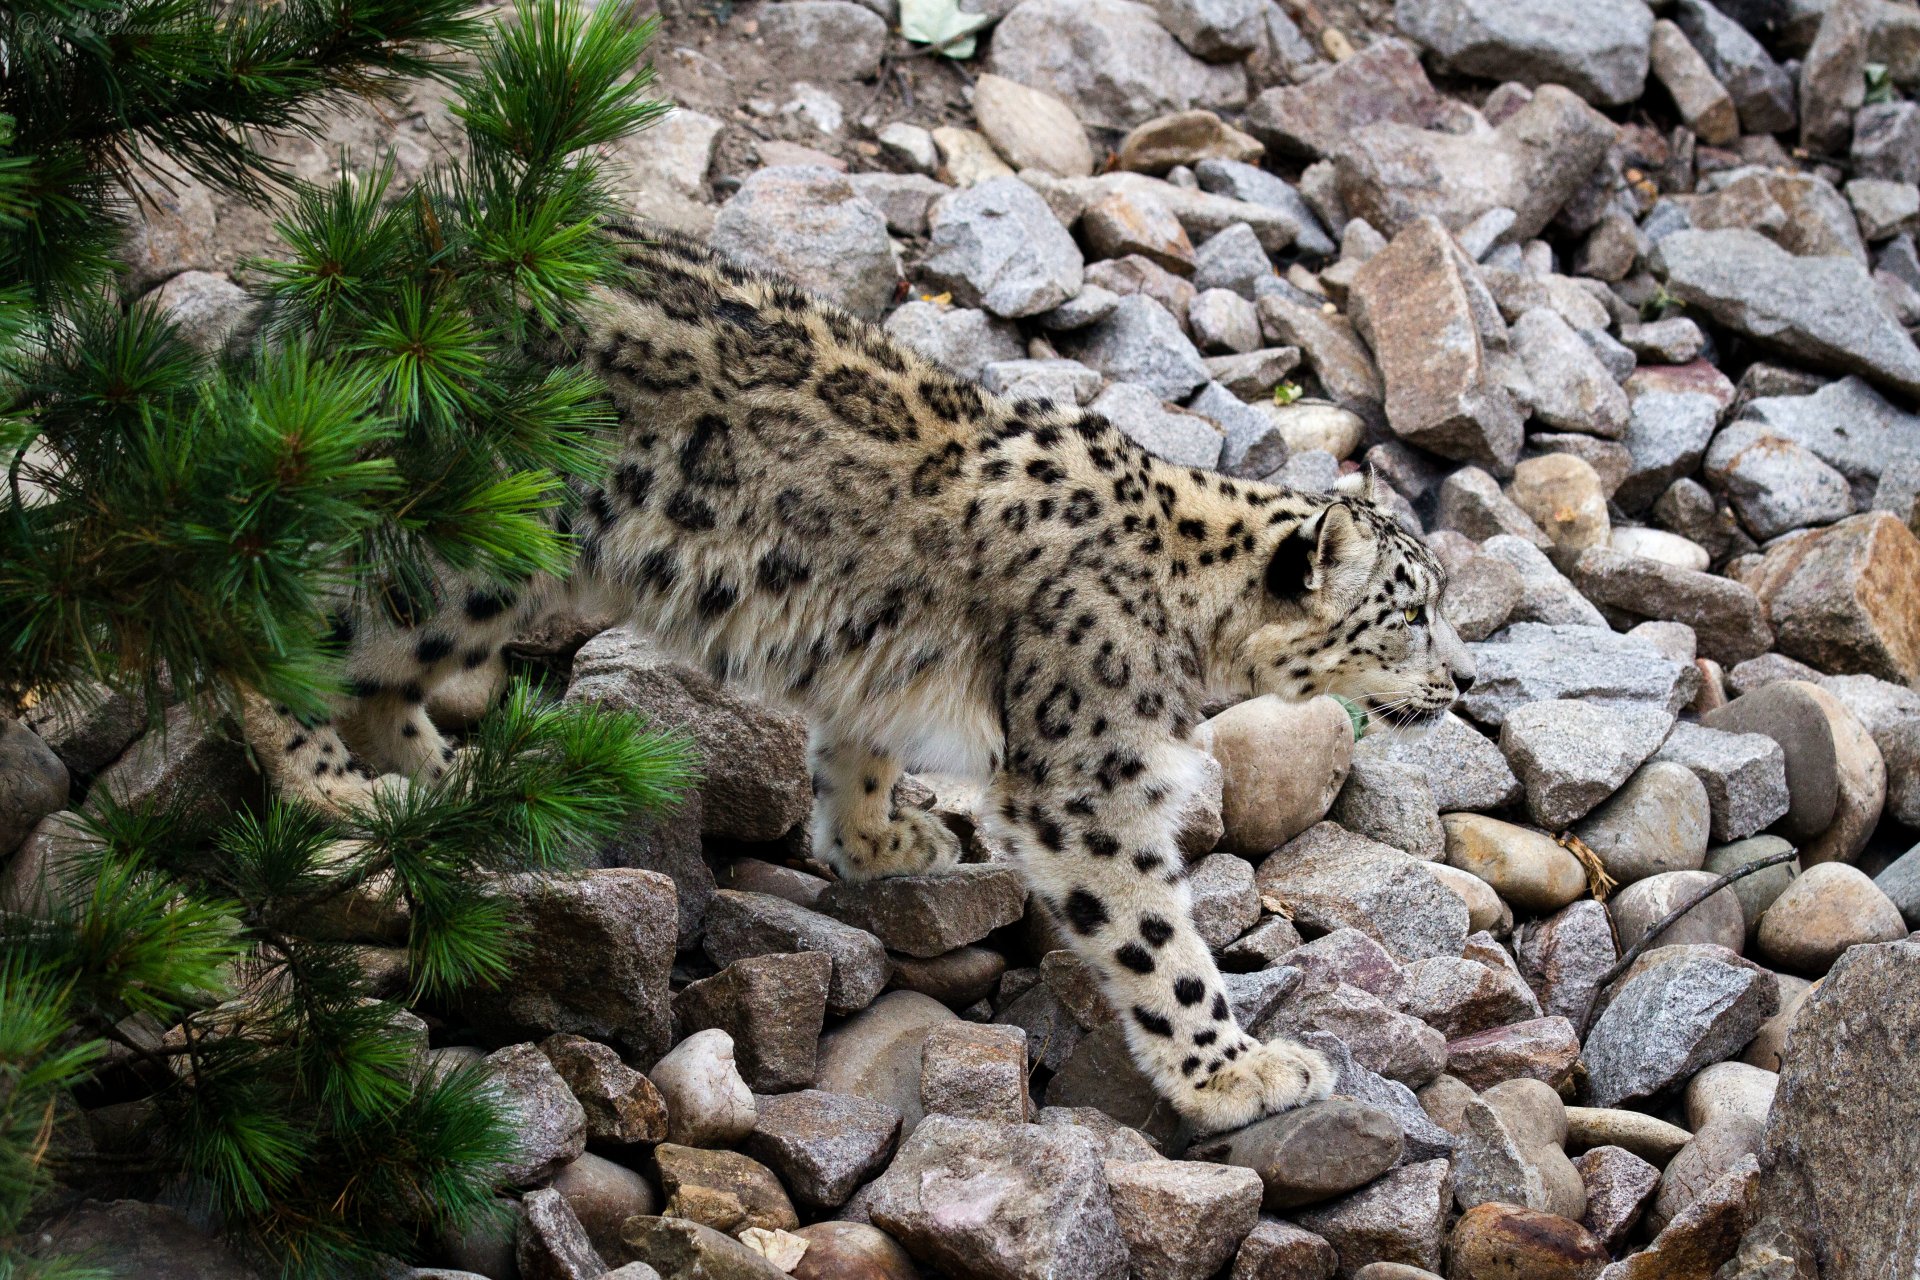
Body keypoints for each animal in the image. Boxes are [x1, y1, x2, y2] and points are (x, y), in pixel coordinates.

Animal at [241, 227, 1477, 1136]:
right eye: (1411, 610)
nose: (1467, 680)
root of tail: (371, 275)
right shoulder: (1089, 783)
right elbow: (1155, 941)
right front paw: (1236, 1071)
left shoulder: (884, 660)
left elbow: (859, 743)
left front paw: (883, 840)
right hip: (460, 547)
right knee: (284, 612)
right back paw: (331, 783)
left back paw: (442, 777)